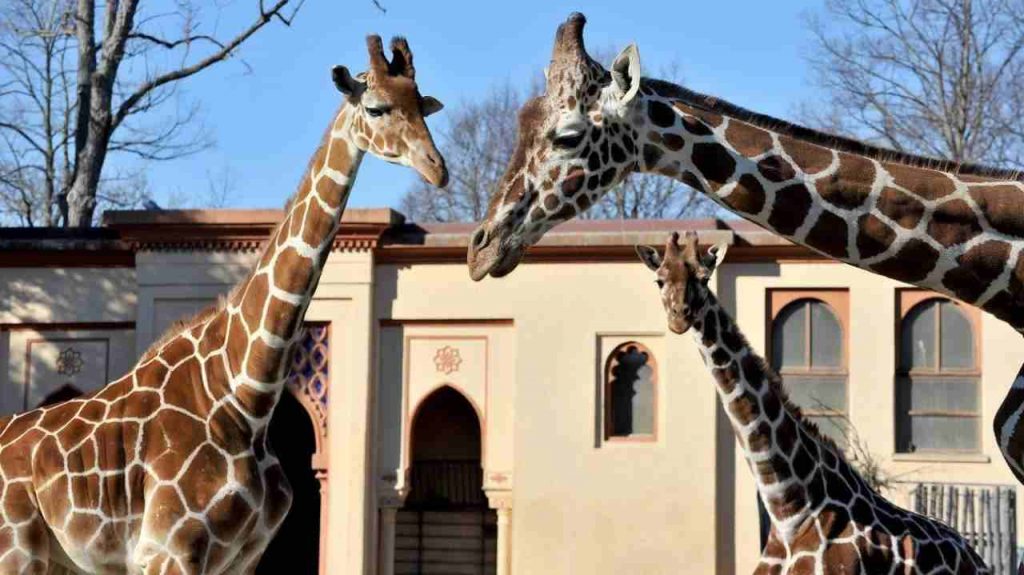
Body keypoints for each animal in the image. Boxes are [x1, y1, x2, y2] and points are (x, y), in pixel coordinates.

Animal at [0, 36, 448, 572]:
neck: (244, 394)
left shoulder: (243, 556)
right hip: (17, 548)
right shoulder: (169, 549)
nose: (437, 168)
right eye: (377, 107)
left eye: (422, 107)